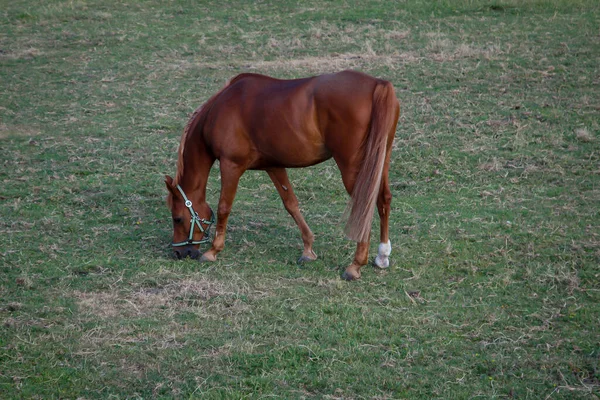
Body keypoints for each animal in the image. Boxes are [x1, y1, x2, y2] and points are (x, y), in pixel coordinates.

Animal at [164, 70, 400, 280]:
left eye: (177, 218)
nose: (178, 252)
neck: (220, 108)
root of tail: (378, 84)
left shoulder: (231, 166)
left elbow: (224, 207)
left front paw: (213, 251)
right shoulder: (274, 166)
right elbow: (291, 204)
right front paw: (308, 249)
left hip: (355, 169)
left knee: (366, 205)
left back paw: (355, 265)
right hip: (380, 162)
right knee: (384, 200)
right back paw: (382, 256)